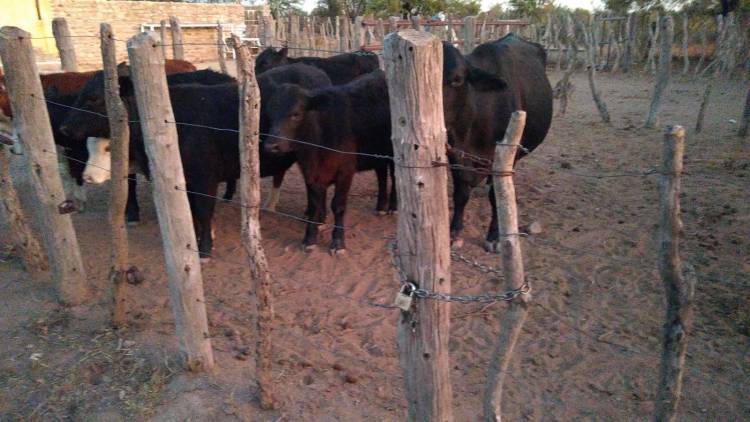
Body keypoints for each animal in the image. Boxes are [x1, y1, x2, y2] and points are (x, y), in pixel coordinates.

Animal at [262, 70, 396, 254]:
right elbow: (314, 205)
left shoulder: (345, 172)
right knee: (381, 174)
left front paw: (338, 242)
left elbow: (338, 206)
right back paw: (381, 207)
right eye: (269, 112)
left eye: (296, 114)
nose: (271, 146)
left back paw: (393, 207)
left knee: (396, 178)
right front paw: (310, 237)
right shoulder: (310, 173)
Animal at [444, 34, 556, 252]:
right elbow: (461, 192)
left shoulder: (506, 156)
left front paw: (495, 236)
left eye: (457, 79)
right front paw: (454, 232)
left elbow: (497, 196)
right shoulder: (455, 155)